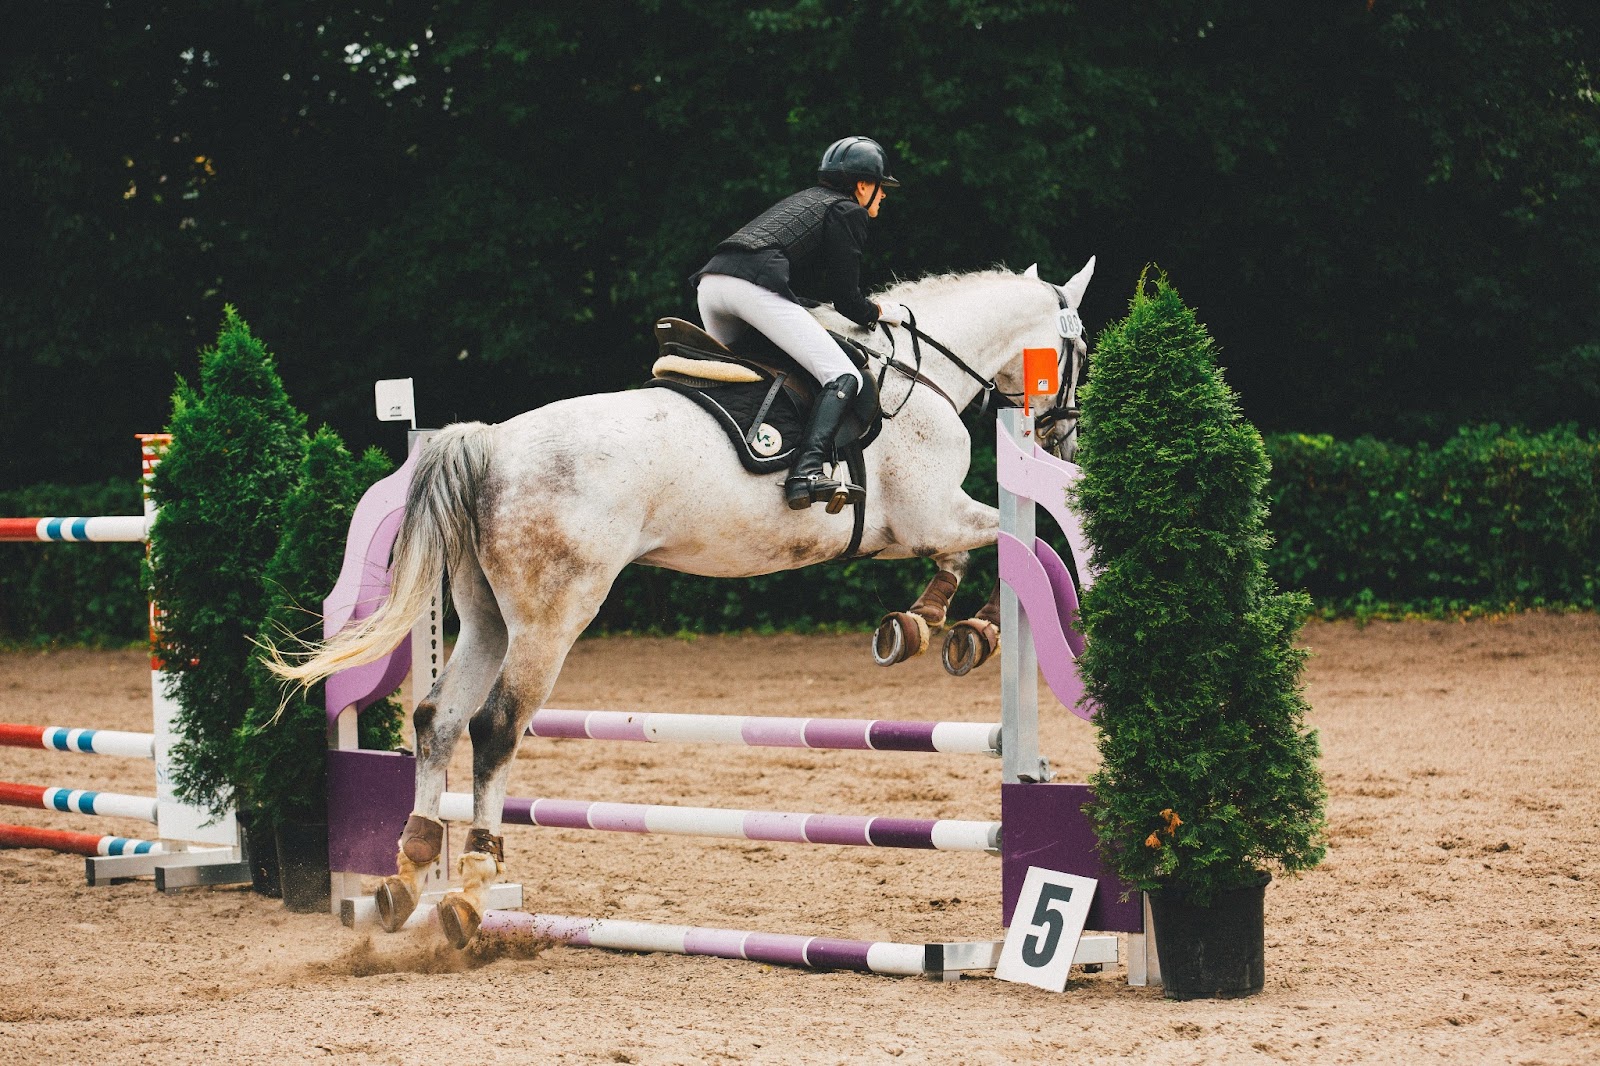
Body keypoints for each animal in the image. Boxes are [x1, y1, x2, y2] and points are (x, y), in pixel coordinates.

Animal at [278, 259, 1100, 947]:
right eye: (1081, 350)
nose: (1064, 439)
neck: (916, 376)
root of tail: (487, 444)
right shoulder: (929, 515)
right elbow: (1018, 543)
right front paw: (970, 631)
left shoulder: (911, 528)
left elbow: (988, 551)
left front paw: (918, 626)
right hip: (552, 615)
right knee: (496, 725)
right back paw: (471, 889)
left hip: (485, 618)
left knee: (437, 718)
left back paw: (406, 878)